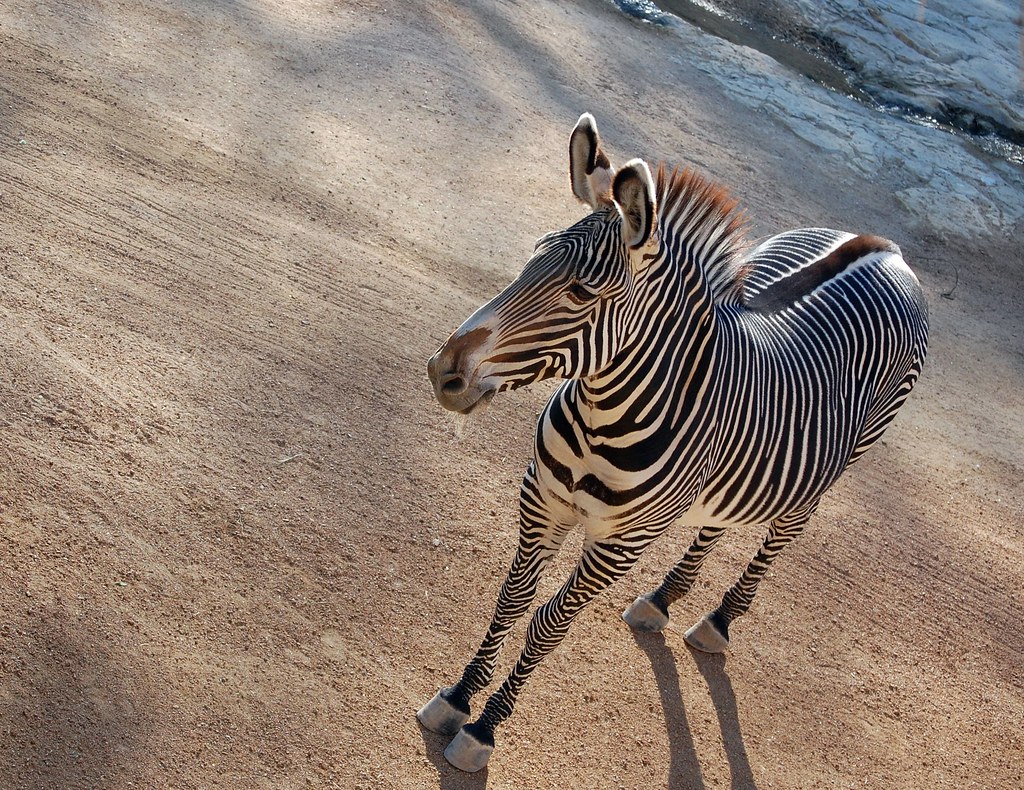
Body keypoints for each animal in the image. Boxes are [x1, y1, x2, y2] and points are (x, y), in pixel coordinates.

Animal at [417, 113, 928, 772]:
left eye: (581, 292)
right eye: (532, 256)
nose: (443, 372)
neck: (604, 416)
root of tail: (884, 245)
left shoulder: (619, 545)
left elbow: (547, 623)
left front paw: (483, 730)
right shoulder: (542, 501)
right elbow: (512, 599)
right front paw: (456, 698)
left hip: (838, 464)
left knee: (780, 536)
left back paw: (718, 623)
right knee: (716, 521)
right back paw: (661, 602)